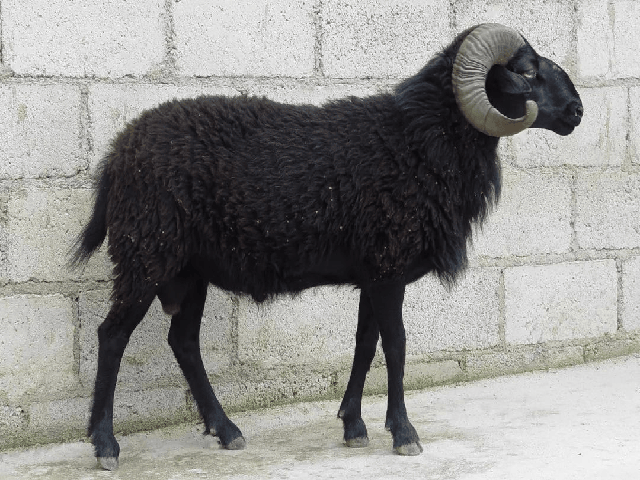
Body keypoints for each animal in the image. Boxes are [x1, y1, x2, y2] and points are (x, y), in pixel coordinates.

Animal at [72, 23, 583, 470]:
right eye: (526, 70)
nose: (577, 111)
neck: (421, 141)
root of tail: (118, 154)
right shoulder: (388, 269)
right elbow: (396, 345)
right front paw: (404, 434)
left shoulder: (374, 271)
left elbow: (365, 343)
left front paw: (353, 426)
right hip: (145, 255)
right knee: (112, 337)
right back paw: (105, 444)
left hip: (187, 270)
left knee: (183, 342)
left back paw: (226, 430)